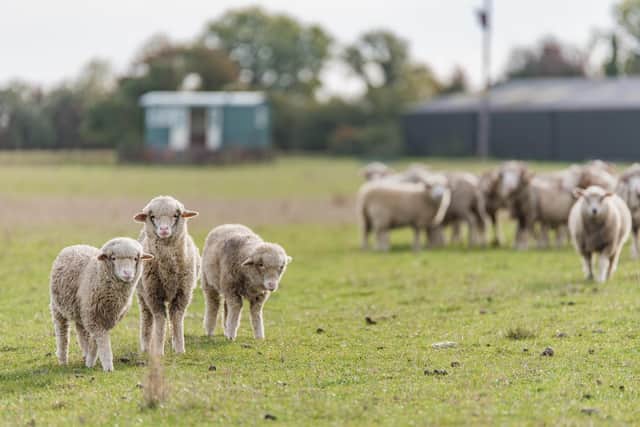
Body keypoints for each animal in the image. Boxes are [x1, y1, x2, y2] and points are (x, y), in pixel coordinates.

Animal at [49, 238, 153, 372]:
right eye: (113, 258)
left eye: (136, 258)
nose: (127, 273)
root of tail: (75, 246)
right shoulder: (94, 317)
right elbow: (102, 342)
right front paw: (107, 366)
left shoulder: (100, 317)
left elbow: (94, 340)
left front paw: (89, 361)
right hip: (58, 308)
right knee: (62, 333)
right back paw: (62, 360)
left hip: (80, 309)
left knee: (81, 331)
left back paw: (84, 354)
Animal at [134, 196, 200, 355]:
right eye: (152, 217)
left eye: (176, 215)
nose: (164, 230)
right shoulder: (153, 295)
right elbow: (160, 319)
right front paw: (158, 350)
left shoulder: (183, 294)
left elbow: (176, 318)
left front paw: (180, 349)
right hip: (142, 294)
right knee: (147, 318)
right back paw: (145, 347)